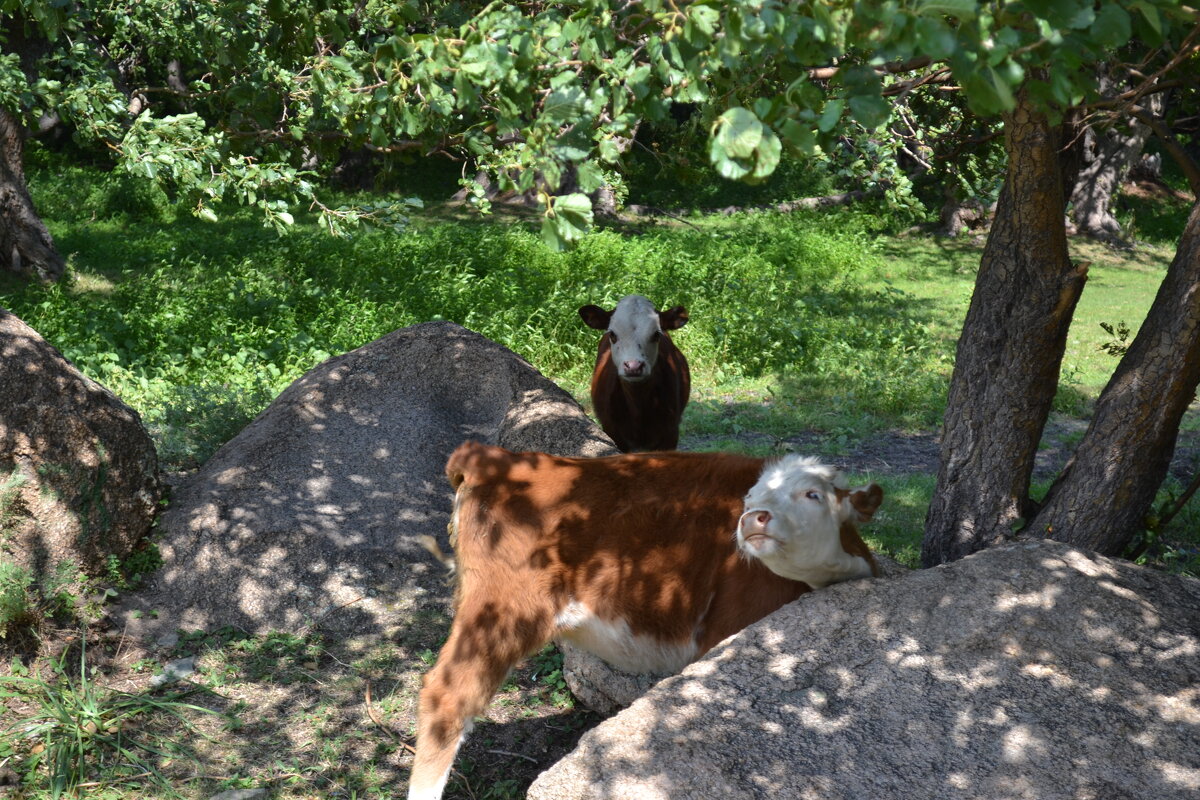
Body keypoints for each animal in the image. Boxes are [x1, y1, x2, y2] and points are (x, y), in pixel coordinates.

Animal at [408, 441, 888, 796]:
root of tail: (495, 455)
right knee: (448, 694)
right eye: (750, 498)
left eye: (813, 494)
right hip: (505, 607)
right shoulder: (730, 624)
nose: (753, 518)